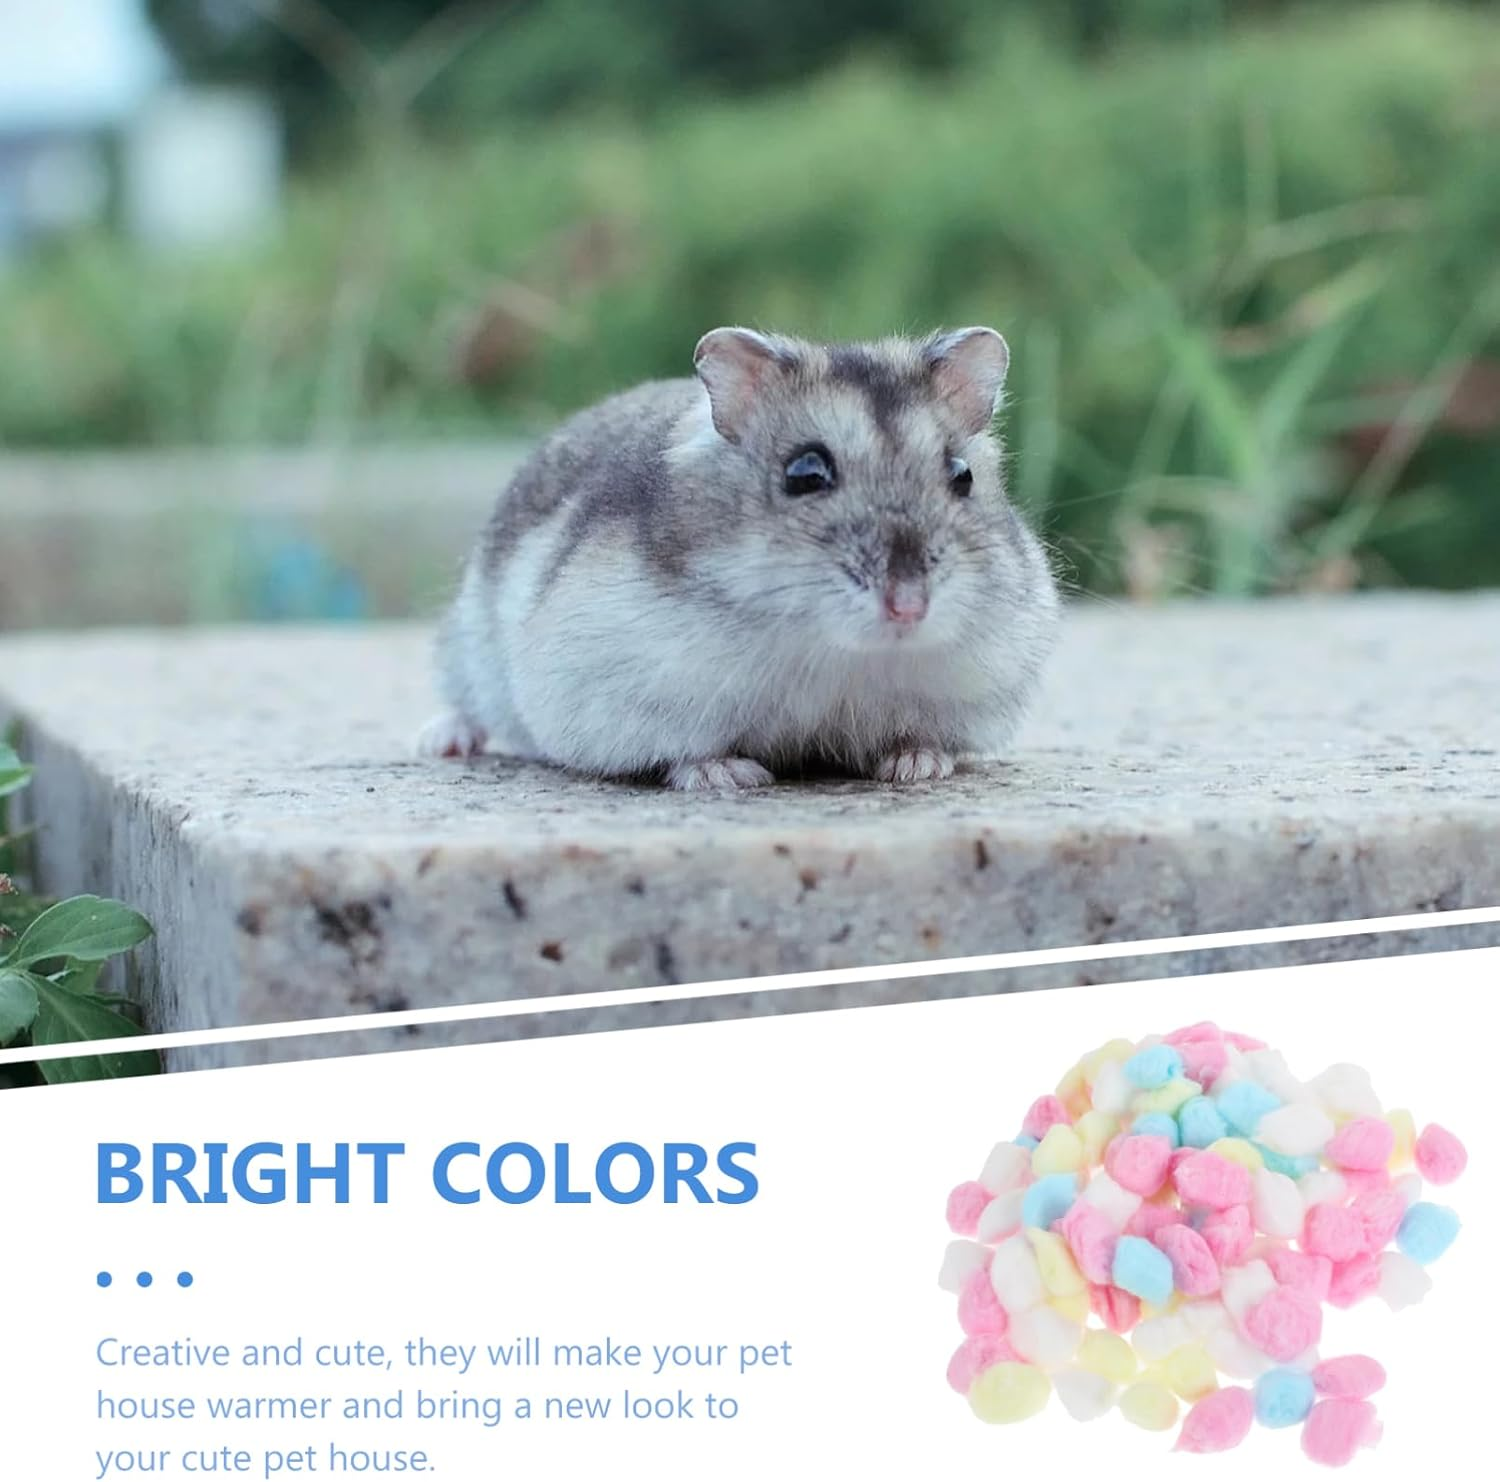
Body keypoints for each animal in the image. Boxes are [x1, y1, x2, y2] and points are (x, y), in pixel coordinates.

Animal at [419, 326, 1060, 788]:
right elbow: (683, 753)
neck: (832, 652)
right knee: (464, 703)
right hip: (467, 642)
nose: (908, 607)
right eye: (805, 472)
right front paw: (733, 776)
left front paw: (917, 766)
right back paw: (441, 743)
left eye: (963, 475)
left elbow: (922, 740)